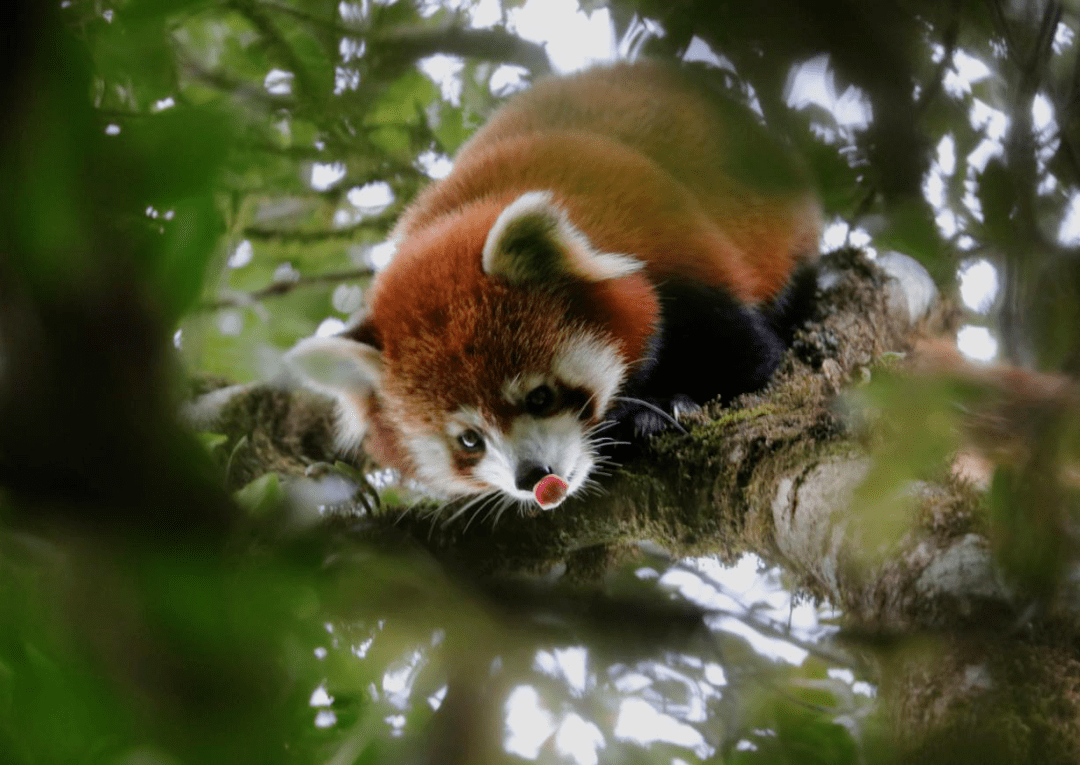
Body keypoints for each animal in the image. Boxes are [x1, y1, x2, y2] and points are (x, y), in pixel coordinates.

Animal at [287, 62, 816, 510]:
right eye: (469, 440)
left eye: (540, 397)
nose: (531, 475)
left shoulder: (682, 273)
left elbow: (751, 364)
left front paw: (659, 409)